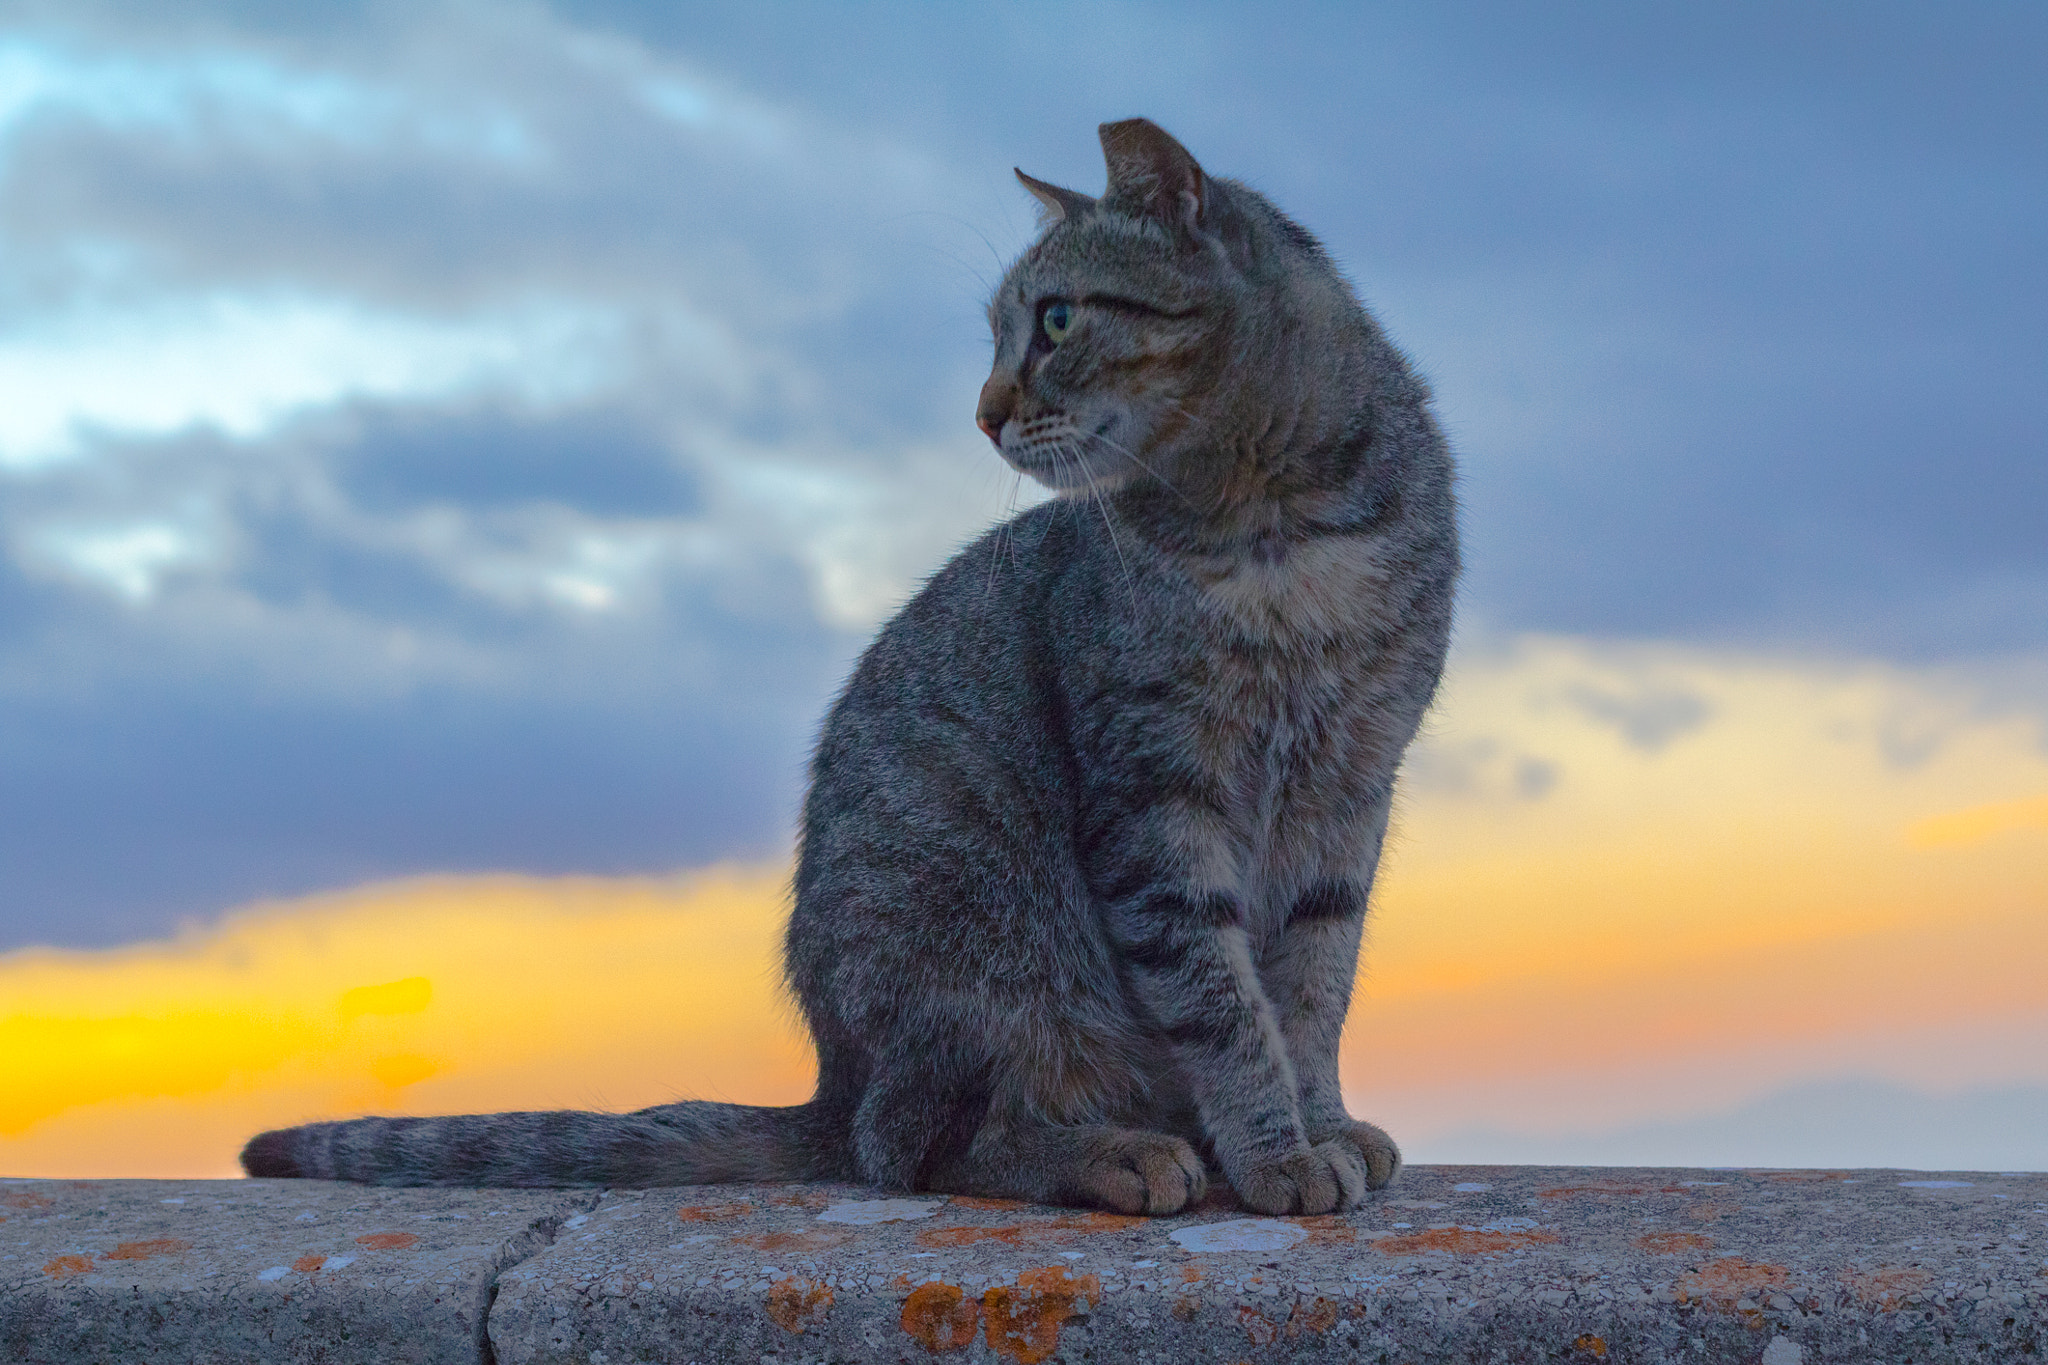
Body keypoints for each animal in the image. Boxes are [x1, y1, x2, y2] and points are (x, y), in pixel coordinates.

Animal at [239, 120, 1458, 1219]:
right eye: (1002, 332)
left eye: (1056, 319)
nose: (984, 413)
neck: (1282, 527)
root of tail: (834, 1077)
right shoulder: (1158, 797)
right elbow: (1223, 1004)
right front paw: (1275, 1150)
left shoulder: (1350, 787)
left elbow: (1312, 988)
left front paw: (1319, 1122)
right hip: (986, 947)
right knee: (916, 1141)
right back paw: (1112, 1152)